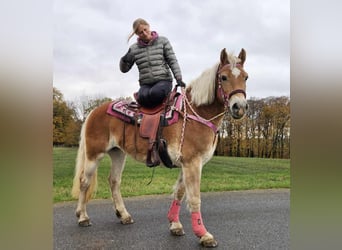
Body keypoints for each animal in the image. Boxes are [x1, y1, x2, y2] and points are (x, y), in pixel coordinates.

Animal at [71, 47, 248, 247]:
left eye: (246, 77)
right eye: (224, 77)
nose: (239, 107)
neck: (196, 113)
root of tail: (94, 111)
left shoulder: (187, 164)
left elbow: (179, 193)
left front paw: (175, 224)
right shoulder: (192, 163)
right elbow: (194, 198)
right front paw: (203, 234)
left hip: (118, 154)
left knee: (114, 181)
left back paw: (123, 214)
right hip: (94, 155)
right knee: (84, 182)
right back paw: (82, 216)